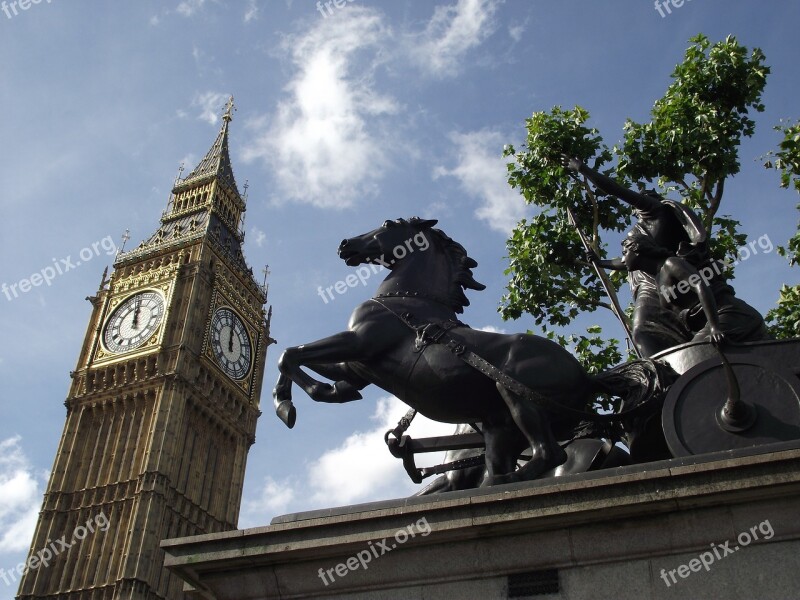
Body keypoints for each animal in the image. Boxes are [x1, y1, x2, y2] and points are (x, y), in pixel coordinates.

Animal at [272, 218, 652, 486]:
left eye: (388, 224)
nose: (345, 244)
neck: (407, 300)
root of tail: (588, 377)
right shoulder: (356, 369)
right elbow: (310, 369)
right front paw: (310, 395)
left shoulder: (358, 340)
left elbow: (290, 354)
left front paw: (286, 407)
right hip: (500, 430)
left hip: (516, 395)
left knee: (550, 454)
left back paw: (507, 482)